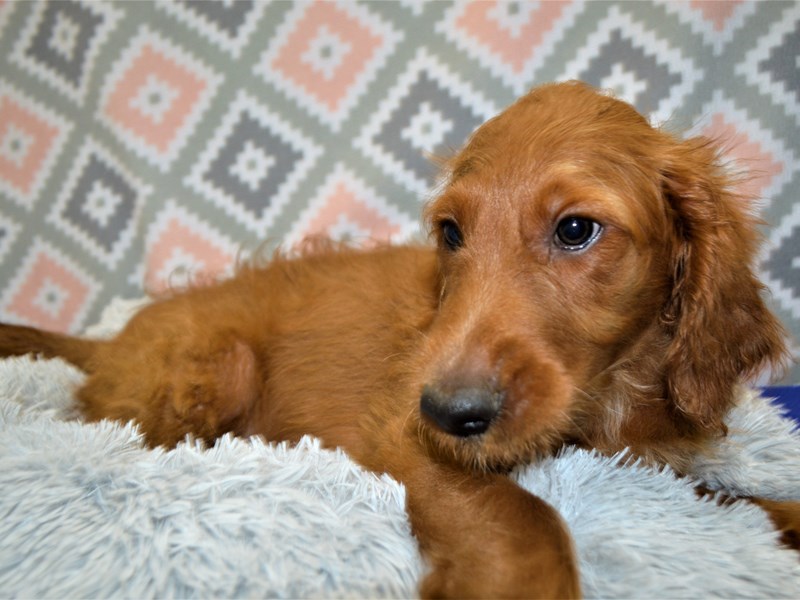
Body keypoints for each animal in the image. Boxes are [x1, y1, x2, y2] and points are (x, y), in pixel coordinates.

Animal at [3, 82, 796, 596]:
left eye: (576, 229)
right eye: (450, 233)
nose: (451, 411)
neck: (601, 400)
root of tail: (109, 341)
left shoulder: (639, 464)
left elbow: (726, 499)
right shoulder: (406, 438)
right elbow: (523, 514)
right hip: (214, 370)